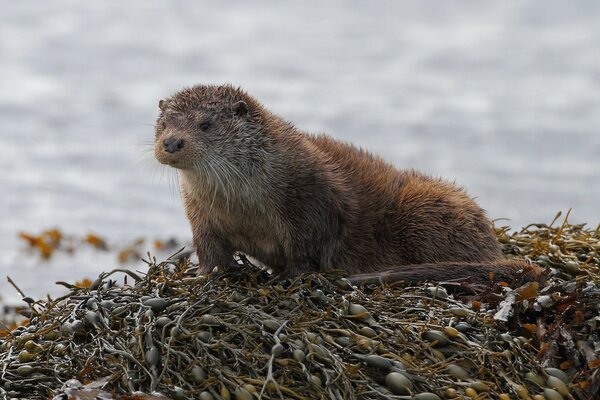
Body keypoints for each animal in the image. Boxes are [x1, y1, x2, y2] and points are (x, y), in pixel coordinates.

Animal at [155, 83, 544, 284]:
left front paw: (288, 277)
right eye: (163, 123)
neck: (242, 204)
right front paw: (202, 276)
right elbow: (210, 250)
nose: (172, 142)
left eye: (205, 125)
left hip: (424, 210)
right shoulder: (200, 215)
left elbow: (306, 248)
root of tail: (492, 244)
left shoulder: (309, 198)